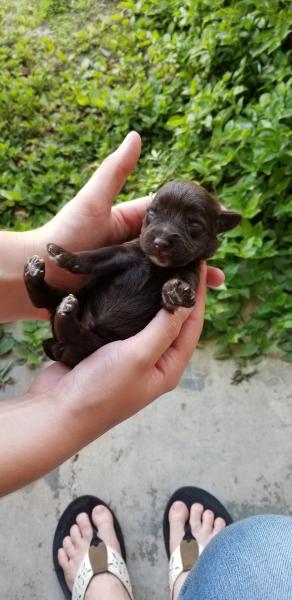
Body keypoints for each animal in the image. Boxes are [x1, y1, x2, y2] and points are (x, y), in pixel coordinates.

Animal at [23, 179, 242, 366]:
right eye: (152, 213)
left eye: (194, 224)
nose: (160, 242)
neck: (157, 265)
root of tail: (59, 347)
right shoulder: (123, 253)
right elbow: (95, 256)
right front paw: (64, 255)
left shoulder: (191, 269)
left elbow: (184, 281)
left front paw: (175, 291)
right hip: (79, 296)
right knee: (45, 301)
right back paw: (35, 275)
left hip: (95, 345)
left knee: (79, 338)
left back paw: (65, 313)